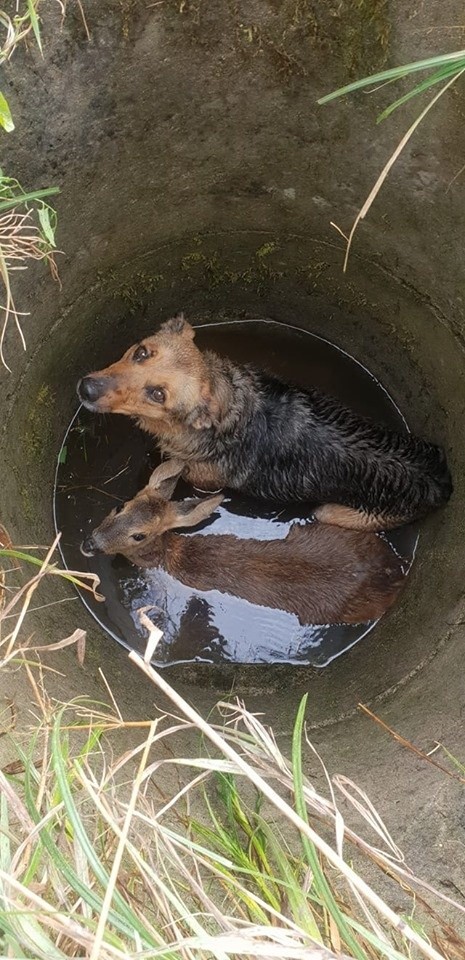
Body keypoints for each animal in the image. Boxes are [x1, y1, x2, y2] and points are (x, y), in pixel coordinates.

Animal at [78, 314, 452, 528]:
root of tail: (442, 480)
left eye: (158, 394)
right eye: (141, 352)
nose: (87, 388)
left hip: (333, 512)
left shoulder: (202, 482)